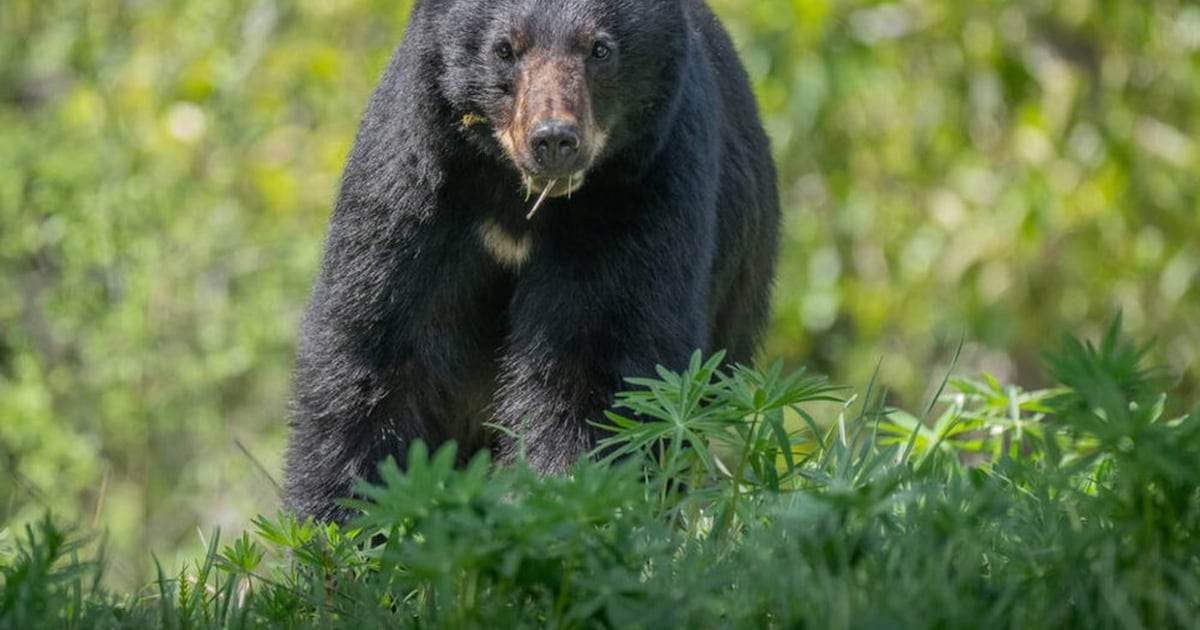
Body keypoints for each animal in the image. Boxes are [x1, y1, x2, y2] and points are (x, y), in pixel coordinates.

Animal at [284, 0, 780, 523]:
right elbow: (375, 350)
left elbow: (595, 362)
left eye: (600, 48)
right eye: (505, 49)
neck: (517, 201)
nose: (554, 139)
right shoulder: (416, 186)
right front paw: (338, 524)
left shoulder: (643, 190)